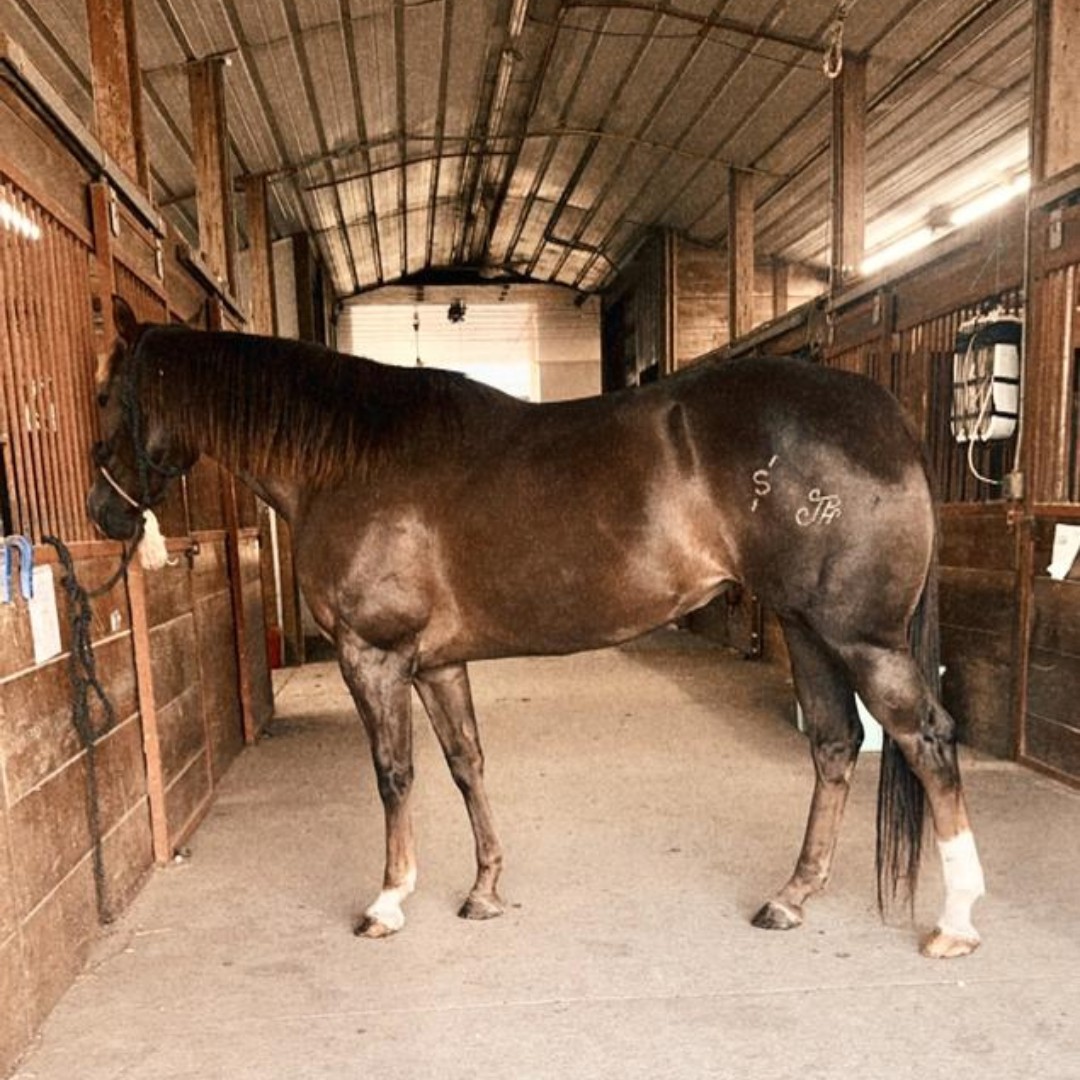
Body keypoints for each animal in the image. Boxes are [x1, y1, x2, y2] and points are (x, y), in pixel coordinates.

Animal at [87, 296, 985, 959]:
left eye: (103, 395)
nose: (102, 514)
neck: (347, 462)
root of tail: (883, 413)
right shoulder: (436, 665)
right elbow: (465, 765)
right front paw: (484, 890)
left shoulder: (372, 656)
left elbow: (394, 774)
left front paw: (388, 900)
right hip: (805, 627)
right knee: (834, 744)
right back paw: (792, 898)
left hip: (861, 638)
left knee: (927, 741)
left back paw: (956, 921)